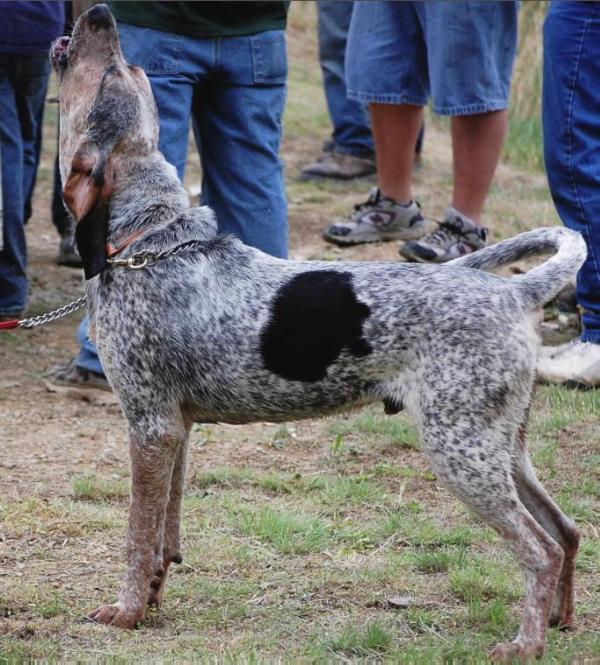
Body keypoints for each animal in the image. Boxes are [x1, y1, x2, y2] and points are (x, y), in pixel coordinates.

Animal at [51, 6, 584, 660]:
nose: (99, 13)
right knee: (566, 532)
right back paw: (559, 622)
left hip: (462, 452)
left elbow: (136, 534)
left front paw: (126, 613)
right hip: (502, 447)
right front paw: (151, 598)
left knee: (538, 549)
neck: (151, 240)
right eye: (131, 72)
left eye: (112, 74)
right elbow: (163, 534)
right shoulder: (175, 429)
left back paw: (524, 644)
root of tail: (515, 292)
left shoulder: (149, 426)